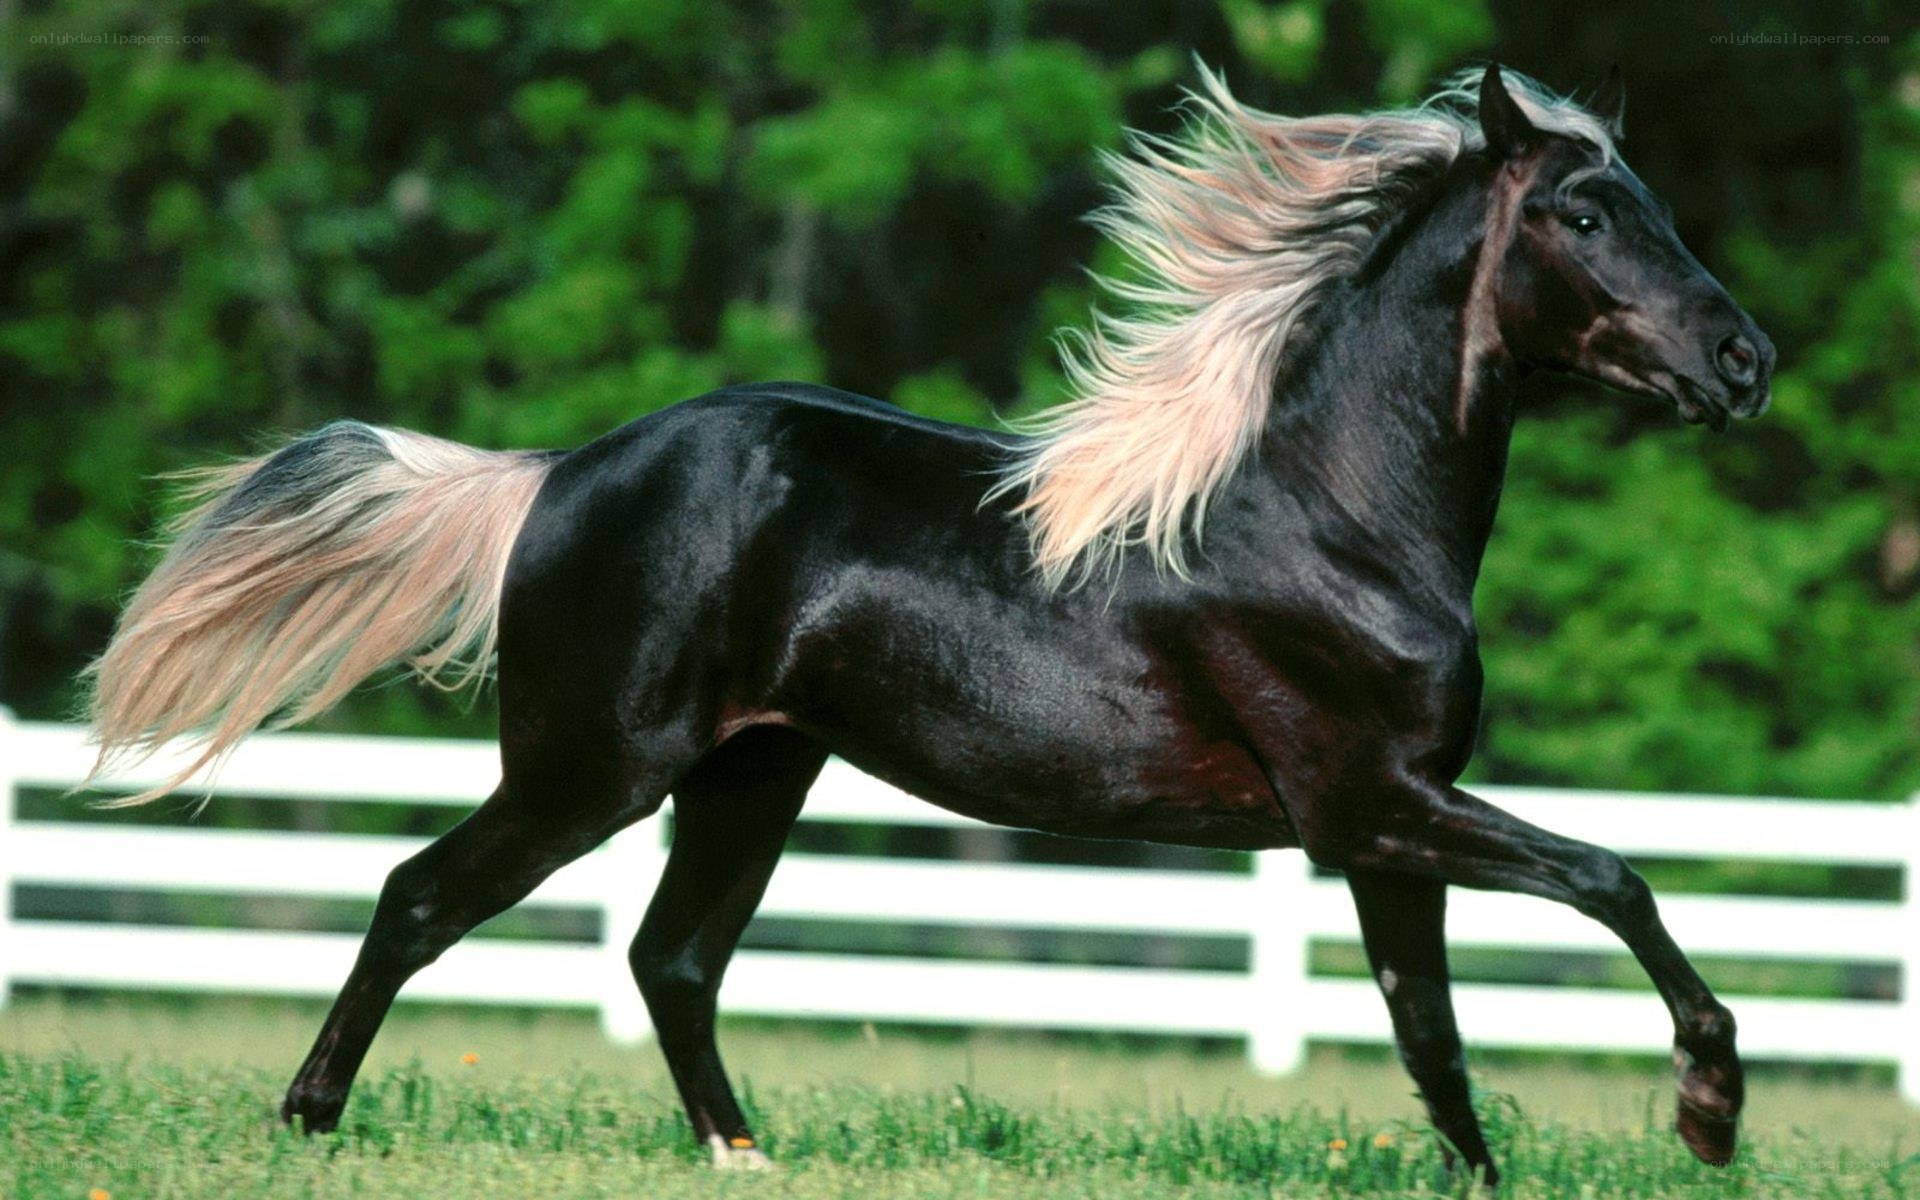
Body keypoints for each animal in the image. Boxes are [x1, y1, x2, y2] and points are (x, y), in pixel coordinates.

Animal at [83, 64, 1774, 1186]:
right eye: (1585, 211)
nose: (1745, 362)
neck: (1333, 515)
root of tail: (557, 474)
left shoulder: (1384, 822)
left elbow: (1430, 1032)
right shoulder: (1370, 800)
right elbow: (1613, 880)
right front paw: (1709, 1112)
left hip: (751, 773)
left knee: (670, 959)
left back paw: (746, 1156)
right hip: (592, 769)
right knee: (423, 898)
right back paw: (308, 1122)